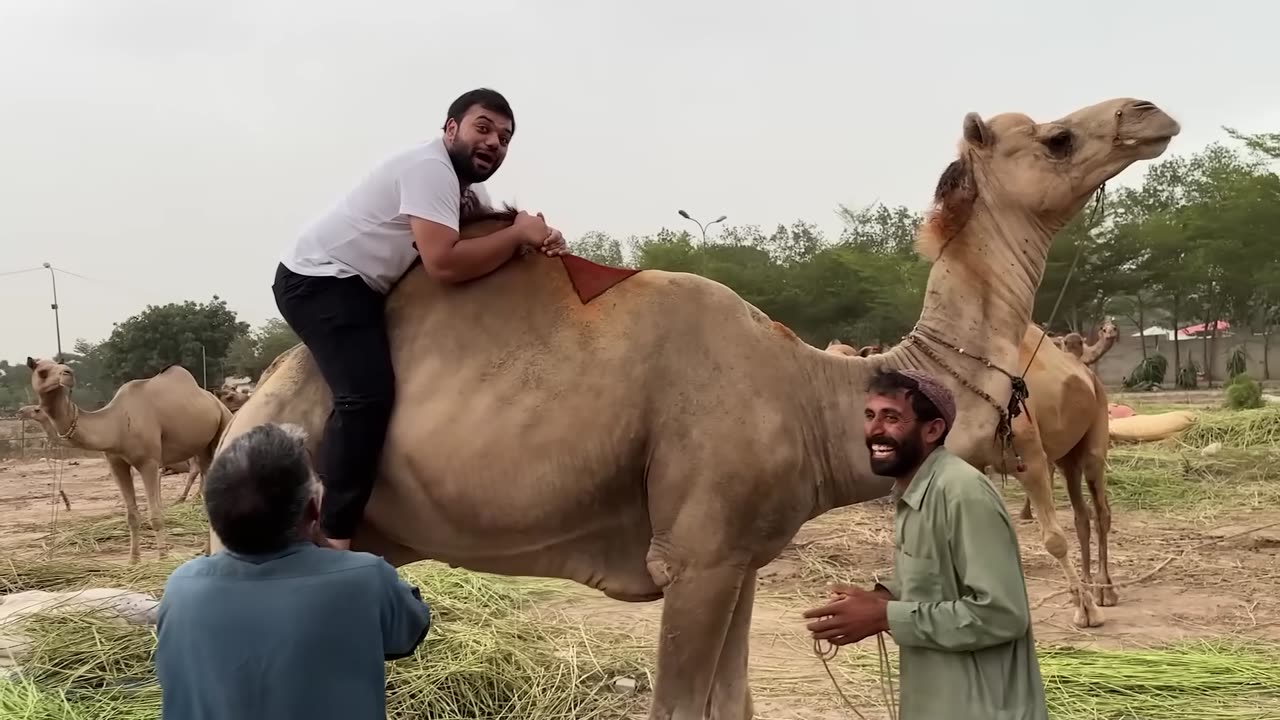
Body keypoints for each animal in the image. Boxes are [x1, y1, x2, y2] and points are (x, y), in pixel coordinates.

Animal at [24, 358, 234, 561]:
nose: (68, 374)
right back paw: (206, 550)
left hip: (223, 426)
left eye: (63, 366)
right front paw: (133, 561)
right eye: (42, 371)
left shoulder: (149, 462)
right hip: (202, 448)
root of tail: (216, 402)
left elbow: (155, 515)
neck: (116, 425)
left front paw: (163, 558)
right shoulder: (116, 463)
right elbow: (132, 516)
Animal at [212, 96, 1177, 717]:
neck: (811, 397)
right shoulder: (698, 556)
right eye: (1056, 139)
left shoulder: (741, 557)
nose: (1149, 112)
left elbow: (734, 703)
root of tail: (247, 407)